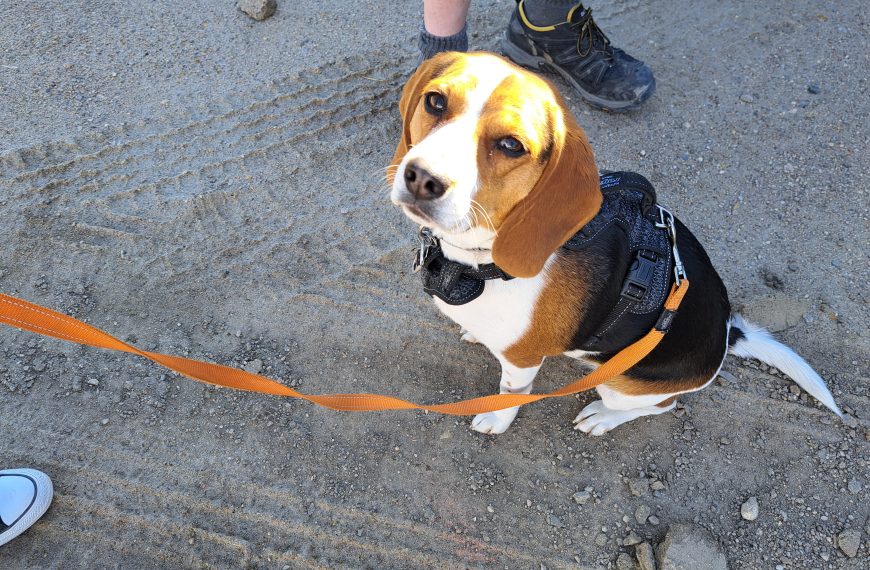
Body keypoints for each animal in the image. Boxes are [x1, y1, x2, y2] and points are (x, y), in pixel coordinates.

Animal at [388, 54, 836, 434]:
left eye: (511, 145)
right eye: (435, 101)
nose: (423, 178)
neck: (481, 261)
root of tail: (728, 333)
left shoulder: (522, 361)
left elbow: (511, 392)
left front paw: (496, 418)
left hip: (620, 384)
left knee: (662, 406)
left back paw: (602, 417)